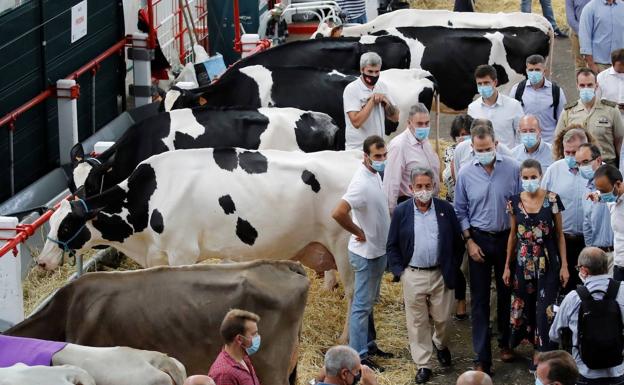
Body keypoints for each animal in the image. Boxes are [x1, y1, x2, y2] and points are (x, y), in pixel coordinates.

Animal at [39, 147, 360, 340]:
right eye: (50, 225)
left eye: (66, 225)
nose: (42, 262)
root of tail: (355, 160)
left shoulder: (182, 252)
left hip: (346, 248)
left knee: (356, 294)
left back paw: (346, 338)